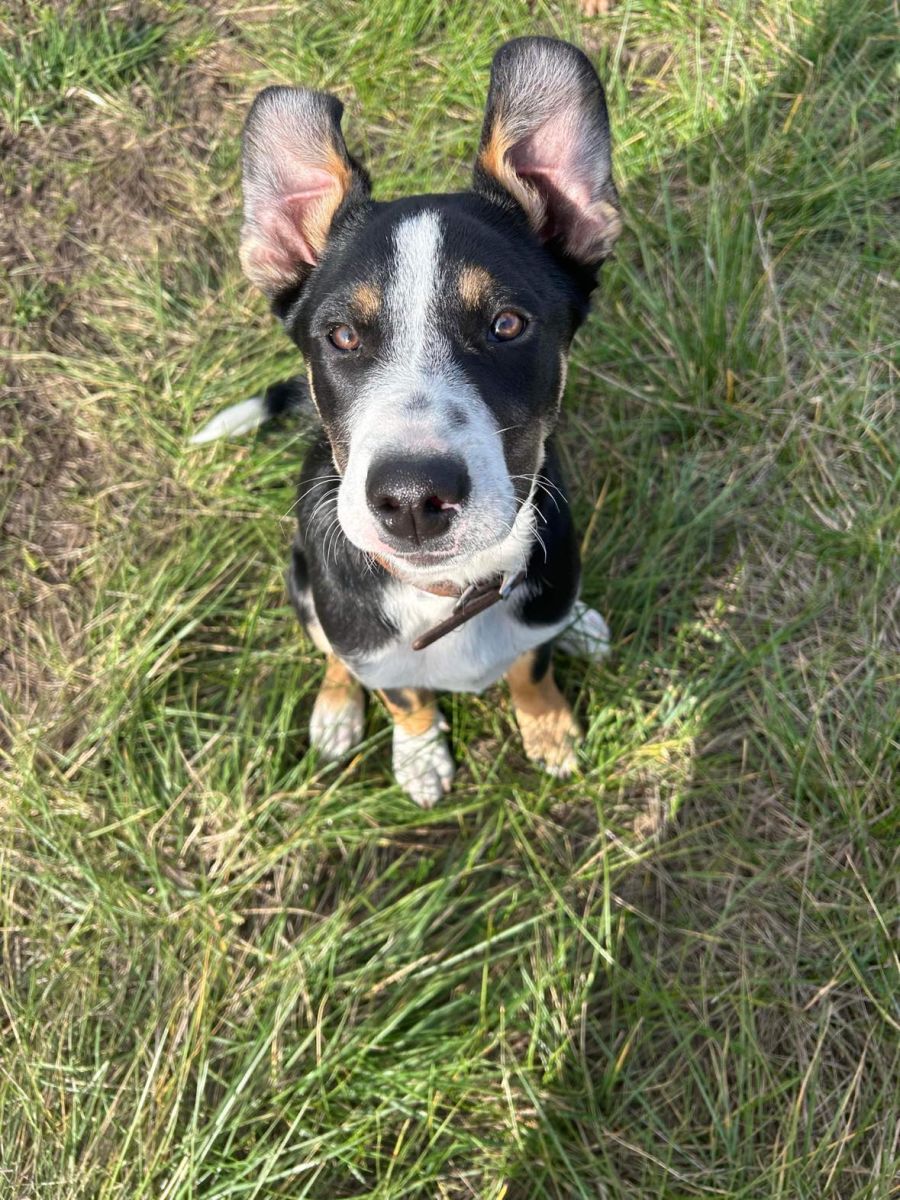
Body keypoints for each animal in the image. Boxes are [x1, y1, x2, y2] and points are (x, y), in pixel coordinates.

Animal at [192, 37, 620, 806]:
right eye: (342, 337)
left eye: (508, 325)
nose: (414, 499)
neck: (451, 591)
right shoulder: (373, 644)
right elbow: (405, 698)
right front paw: (419, 757)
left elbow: (531, 667)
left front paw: (548, 727)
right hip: (302, 580)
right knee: (334, 651)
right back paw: (336, 710)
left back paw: (580, 625)